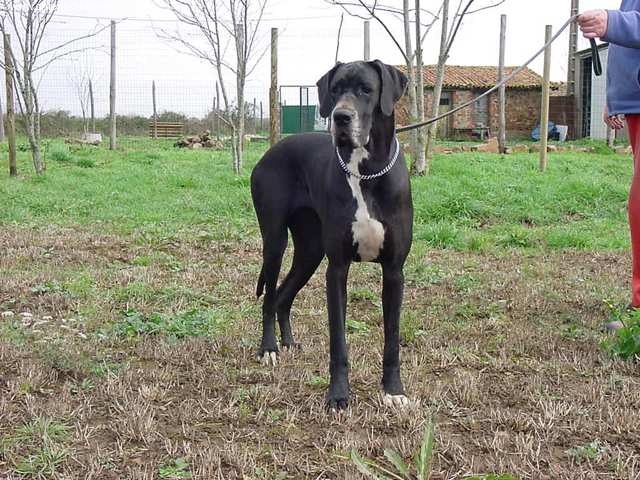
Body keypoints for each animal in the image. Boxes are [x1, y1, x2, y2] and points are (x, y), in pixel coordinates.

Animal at [250, 60, 410, 410]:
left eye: (366, 89)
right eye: (335, 90)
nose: (340, 117)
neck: (367, 171)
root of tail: (270, 151)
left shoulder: (394, 271)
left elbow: (392, 339)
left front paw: (394, 391)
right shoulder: (337, 269)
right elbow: (338, 340)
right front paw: (338, 394)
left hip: (310, 251)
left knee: (283, 296)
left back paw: (288, 342)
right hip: (276, 242)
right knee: (269, 296)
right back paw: (269, 348)